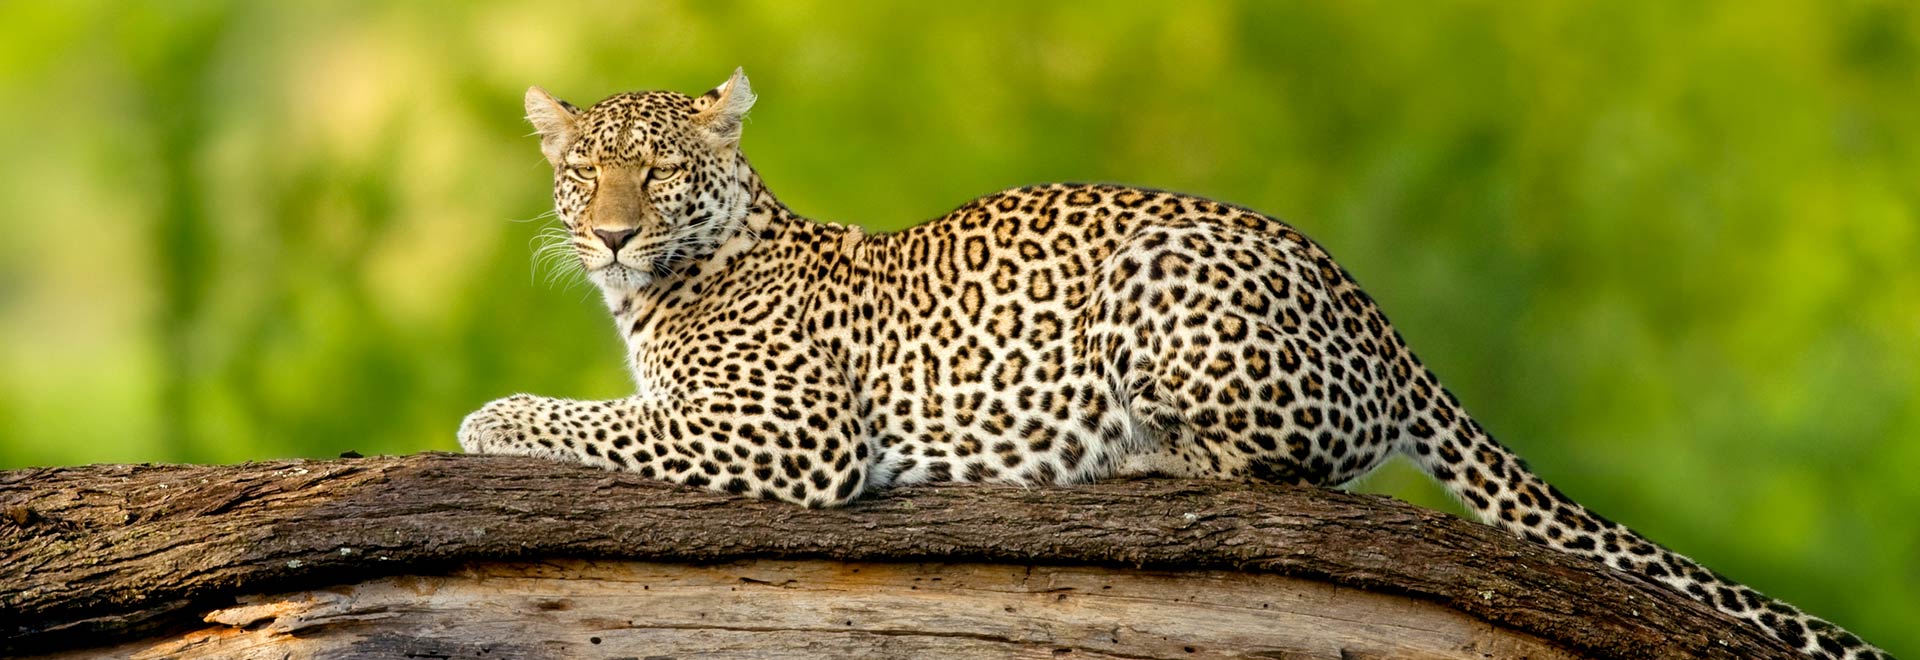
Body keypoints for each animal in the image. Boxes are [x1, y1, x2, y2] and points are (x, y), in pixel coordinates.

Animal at [460, 68, 1889, 660]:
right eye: (586, 173)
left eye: (664, 172)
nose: (610, 232)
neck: (657, 292)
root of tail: (1377, 310)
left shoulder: (788, 437)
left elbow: (585, 417)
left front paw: (485, 417)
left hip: (1160, 277)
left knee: (1291, 467)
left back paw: (1134, 456)